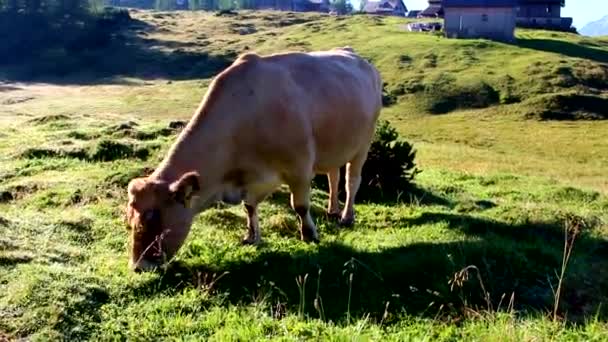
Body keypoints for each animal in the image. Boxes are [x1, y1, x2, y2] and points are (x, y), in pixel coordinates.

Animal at [123, 47, 382, 272]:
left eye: (154, 219)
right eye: (131, 220)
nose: (138, 266)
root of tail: (356, 57)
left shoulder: (299, 166)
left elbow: (300, 206)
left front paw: (309, 234)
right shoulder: (250, 178)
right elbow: (249, 207)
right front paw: (251, 236)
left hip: (364, 141)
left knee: (351, 180)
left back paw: (347, 217)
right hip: (334, 148)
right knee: (333, 175)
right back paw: (332, 210)